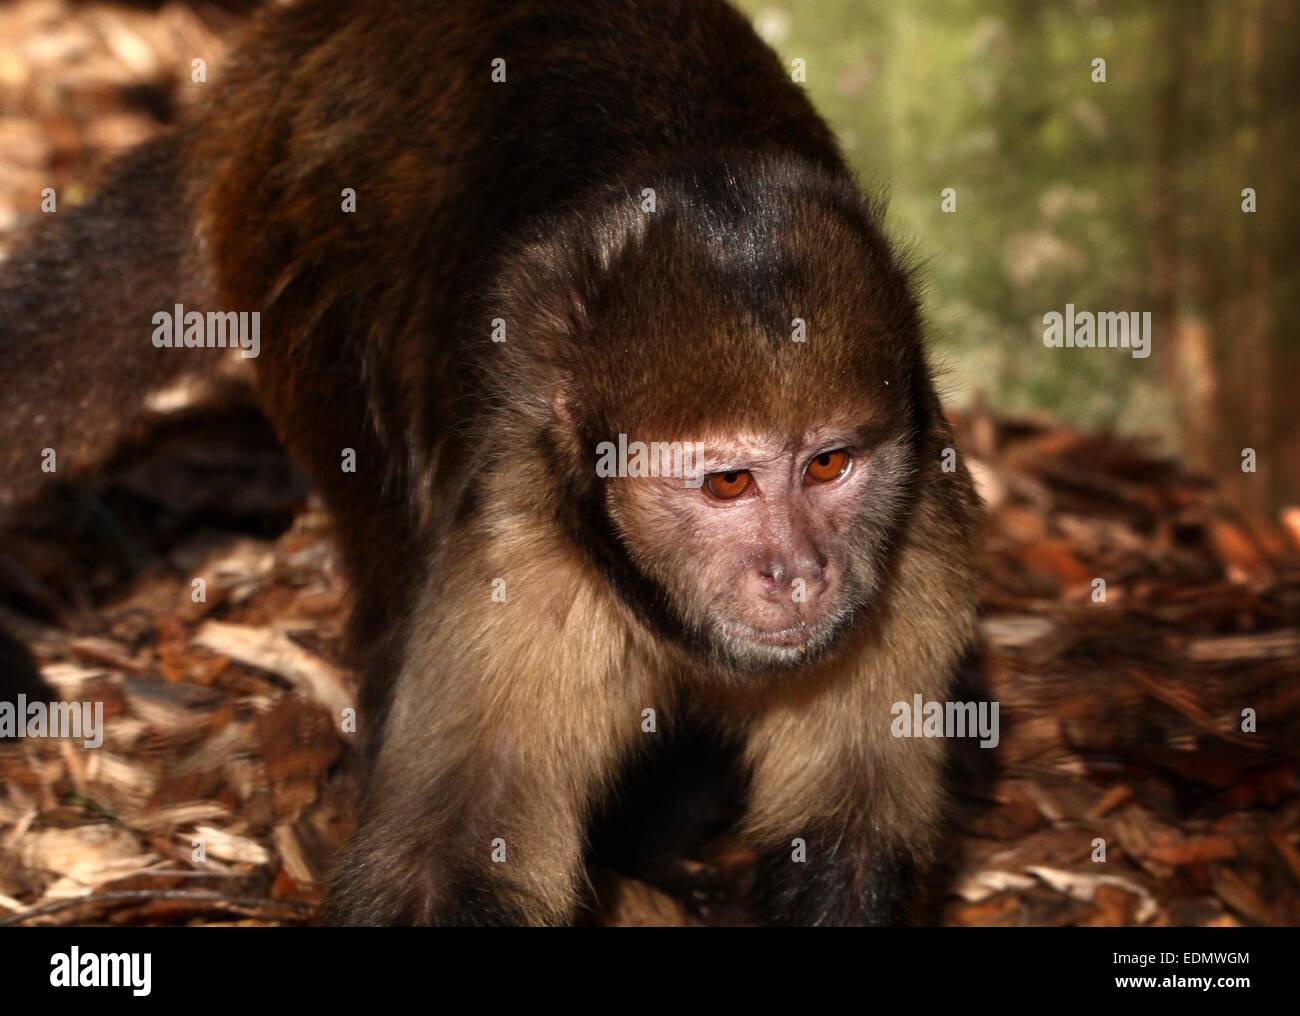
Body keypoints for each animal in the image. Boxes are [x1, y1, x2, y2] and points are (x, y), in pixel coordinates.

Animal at [0, 0, 982, 926]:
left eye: (829, 466)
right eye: (729, 483)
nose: (802, 574)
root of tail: (285, 56)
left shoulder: (917, 540)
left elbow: (850, 840)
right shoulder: (524, 545)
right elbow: (449, 863)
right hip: (299, 237)